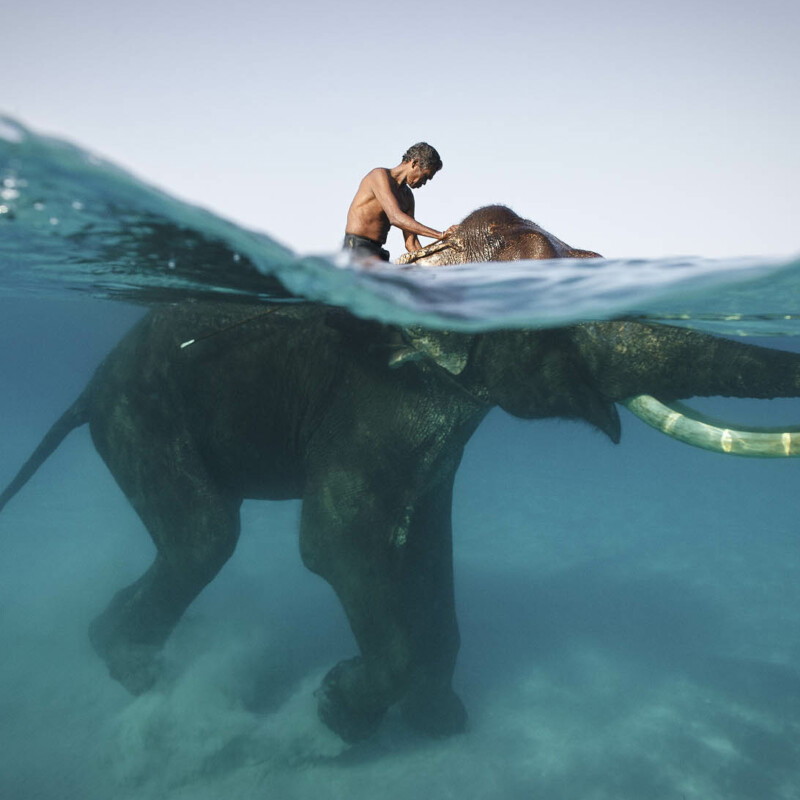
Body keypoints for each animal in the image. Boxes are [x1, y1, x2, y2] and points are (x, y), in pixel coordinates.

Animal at [3, 207, 800, 744]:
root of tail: (86, 391)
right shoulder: (373, 397)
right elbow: (336, 544)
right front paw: (338, 712)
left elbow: (426, 554)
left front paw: (437, 721)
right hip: (141, 416)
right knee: (205, 537)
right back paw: (135, 672)